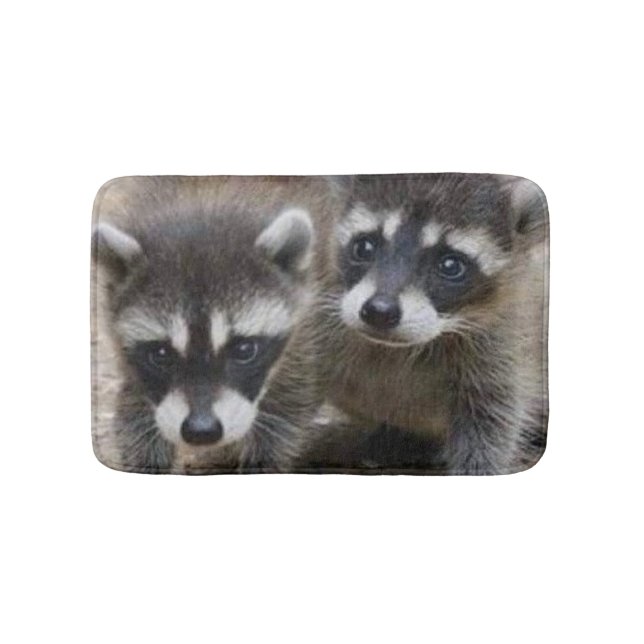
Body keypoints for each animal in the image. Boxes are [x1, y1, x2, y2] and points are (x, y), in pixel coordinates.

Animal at [92, 176, 321, 473]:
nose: (201, 431)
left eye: (244, 350)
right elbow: (135, 408)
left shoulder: (311, 320)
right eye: (161, 354)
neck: (205, 200)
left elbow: (287, 407)